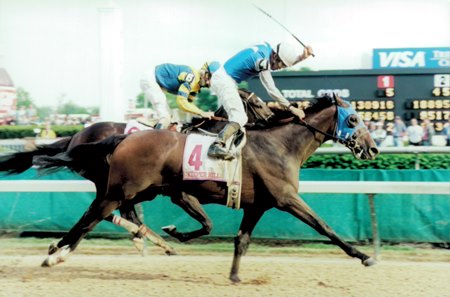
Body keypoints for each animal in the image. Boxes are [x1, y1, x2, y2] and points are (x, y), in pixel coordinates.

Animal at [36, 93, 380, 280]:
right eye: (353, 120)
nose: (373, 148)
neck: (280, 145)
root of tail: (122, 137)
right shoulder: (286, 198)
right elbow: (324, 226)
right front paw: (364, 256)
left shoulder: (256, 204)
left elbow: (239, 239)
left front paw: (234, 274)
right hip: (119, 190)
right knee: (92, 218)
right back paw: (56, 255)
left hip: (133, 190)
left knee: (98, 214)